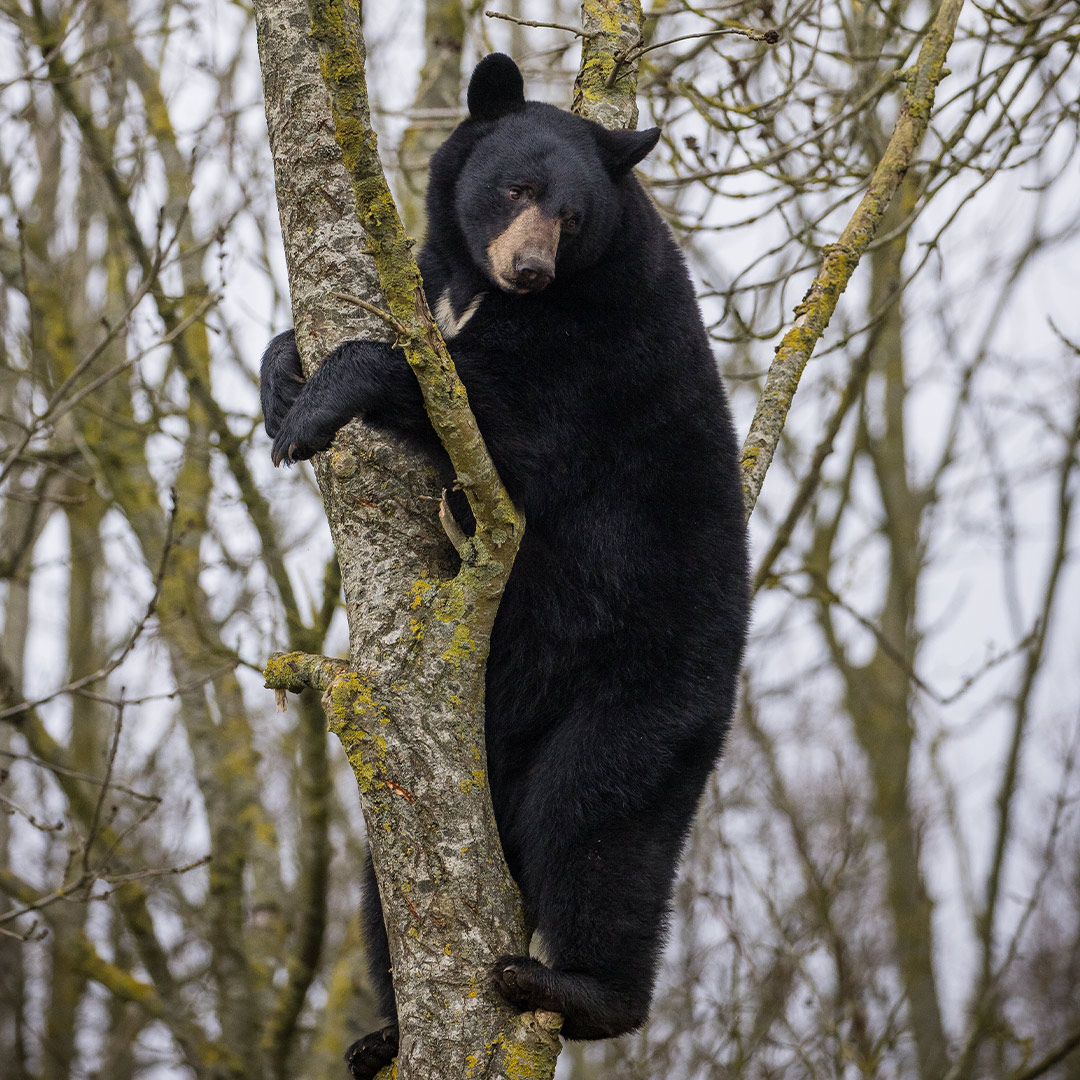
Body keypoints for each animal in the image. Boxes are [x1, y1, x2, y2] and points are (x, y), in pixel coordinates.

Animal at [260, 53, 749, 1079]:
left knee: (597, 821)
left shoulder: (604, 342)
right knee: (390, 877)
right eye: (516, 188)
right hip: (490, 741)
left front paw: (317, 409)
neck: (486, 289)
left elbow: (495, 409)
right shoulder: (432, 271)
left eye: (573, 215)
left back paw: (573, 989)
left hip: (647, 691)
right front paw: (282, 375)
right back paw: (386, 1030)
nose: (529, 267)